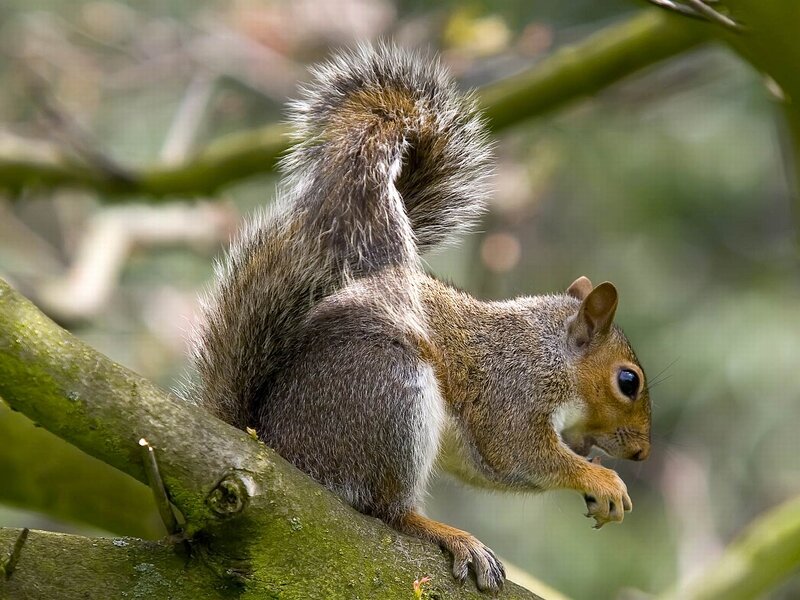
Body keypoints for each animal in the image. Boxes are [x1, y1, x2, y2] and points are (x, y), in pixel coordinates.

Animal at [189, 44, 651, 593]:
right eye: (628, 381)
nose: (642, 454)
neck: (549, 351)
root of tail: (274, 446)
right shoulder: (513, 393)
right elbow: (520, 454)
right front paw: (600, 477)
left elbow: (495, 468)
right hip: (389, 395)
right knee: (386, 510)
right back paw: (445, 533)